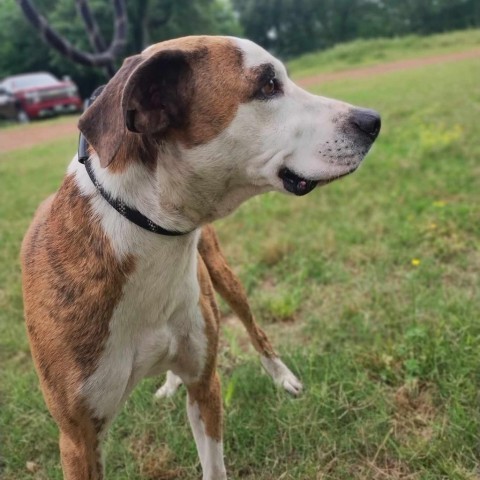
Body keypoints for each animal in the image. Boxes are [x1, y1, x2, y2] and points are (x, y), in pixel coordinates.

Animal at [22, 35, 380, 478]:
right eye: (268, 85)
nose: (372, 121)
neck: (150, 236)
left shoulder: (206, 385)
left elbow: (214, 463)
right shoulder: (77, 439)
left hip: (226, 279)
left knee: (257, 333)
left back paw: (282, 378)